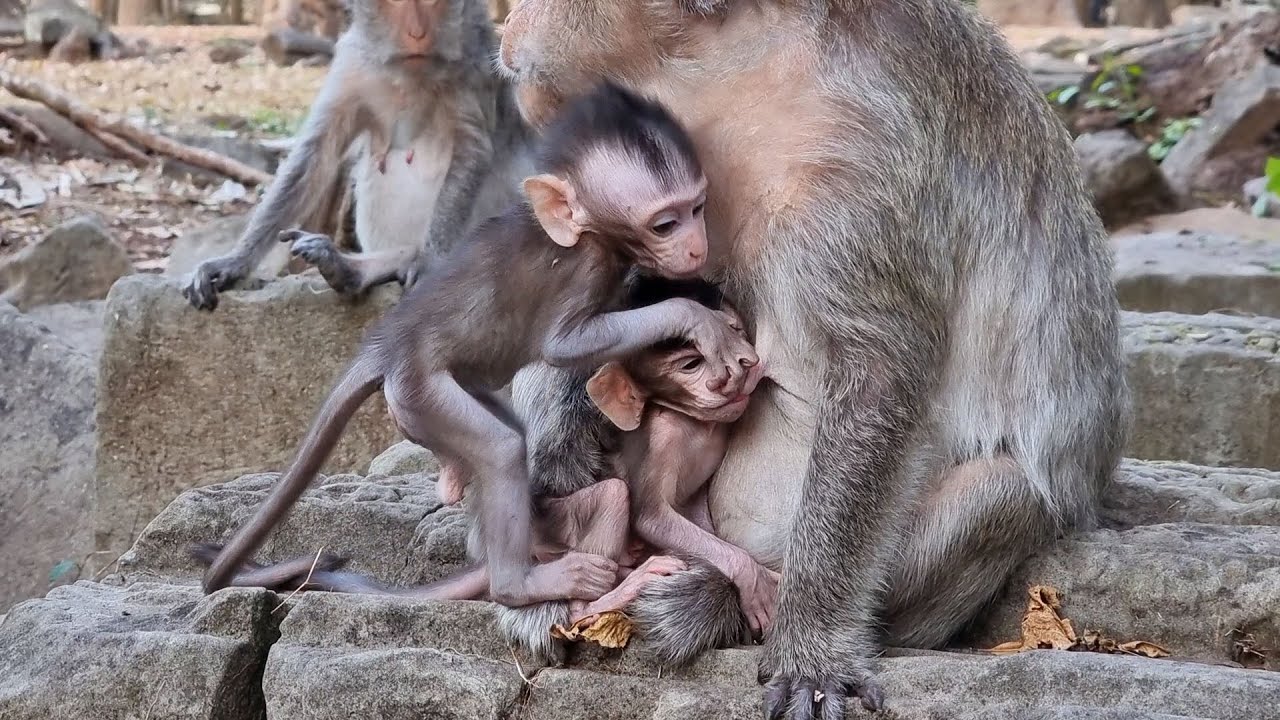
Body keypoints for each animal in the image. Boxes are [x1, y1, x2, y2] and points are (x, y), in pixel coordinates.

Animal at [181, 0, 531, 311]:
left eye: (434, 1)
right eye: (396, 2)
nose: (417, 33)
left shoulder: (476, 66)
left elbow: (472, 150)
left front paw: (430, 261)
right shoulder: (353, 64)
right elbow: (317, 152)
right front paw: (235, 261)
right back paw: (347, 268)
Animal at [197, 82, 761, 612]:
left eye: (697, 208)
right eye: (665, 223)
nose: (697, 247)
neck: (586, 230)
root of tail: (386, 344)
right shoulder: (585, 268)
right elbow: (563, 347)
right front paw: (697, 319)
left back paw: (457, 480)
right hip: (421, 390)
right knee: (501, 447)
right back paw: (524, 582)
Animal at [497, 0, 1130, 715]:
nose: (512, 18)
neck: (735, 79)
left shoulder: (861, 172)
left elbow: (879, 375)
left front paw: (812, 652)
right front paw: (560, 445)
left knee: (1001, 493)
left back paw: (718, 600)